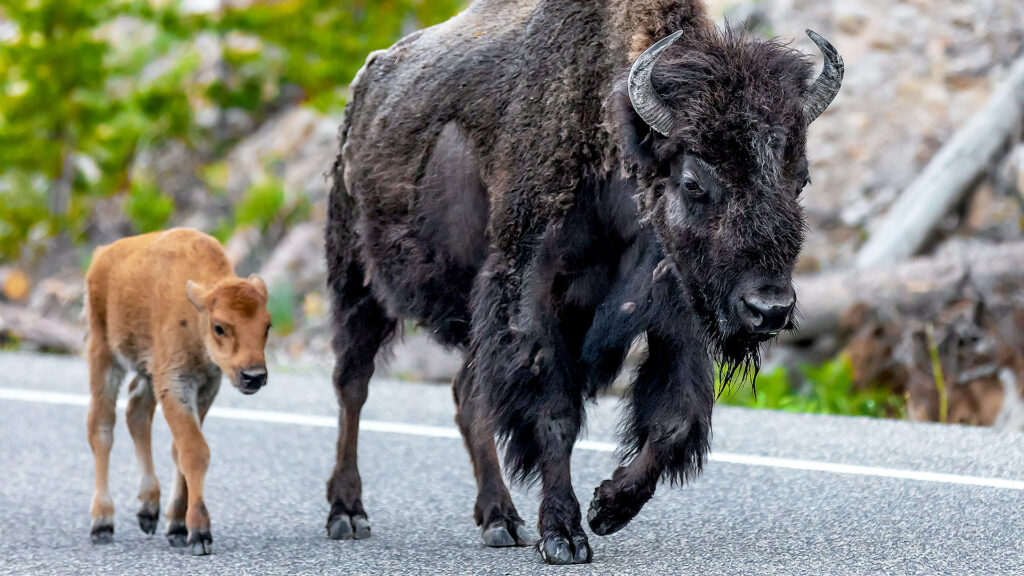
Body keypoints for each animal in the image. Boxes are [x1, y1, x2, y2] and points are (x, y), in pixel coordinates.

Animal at [84, 228, 272, 555]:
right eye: (219, 327)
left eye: (267, 326)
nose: (254, 376)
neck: (195, 314)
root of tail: (101, 255)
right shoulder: (174, 383)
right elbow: (195, 451)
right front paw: (199, 533)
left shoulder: (205, 387)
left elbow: (179, 450)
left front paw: (177, 526)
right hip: (104, 355)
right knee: (102, 429)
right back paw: (102, 523)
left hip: (146, 372)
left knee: (136, 413)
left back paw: (148, 510)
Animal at [323, 0, 843, 565]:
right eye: (693, 182)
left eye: (801, 179)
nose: (768, 308)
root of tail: (361, 97)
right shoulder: (533, 300)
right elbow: (556, 417)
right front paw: (564, 535)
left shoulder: (673, 310)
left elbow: (676, 419)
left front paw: (609, 507)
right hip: (358, 283)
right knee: (354, 385)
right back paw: (348, 513)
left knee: (467, 396)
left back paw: (500, 520)